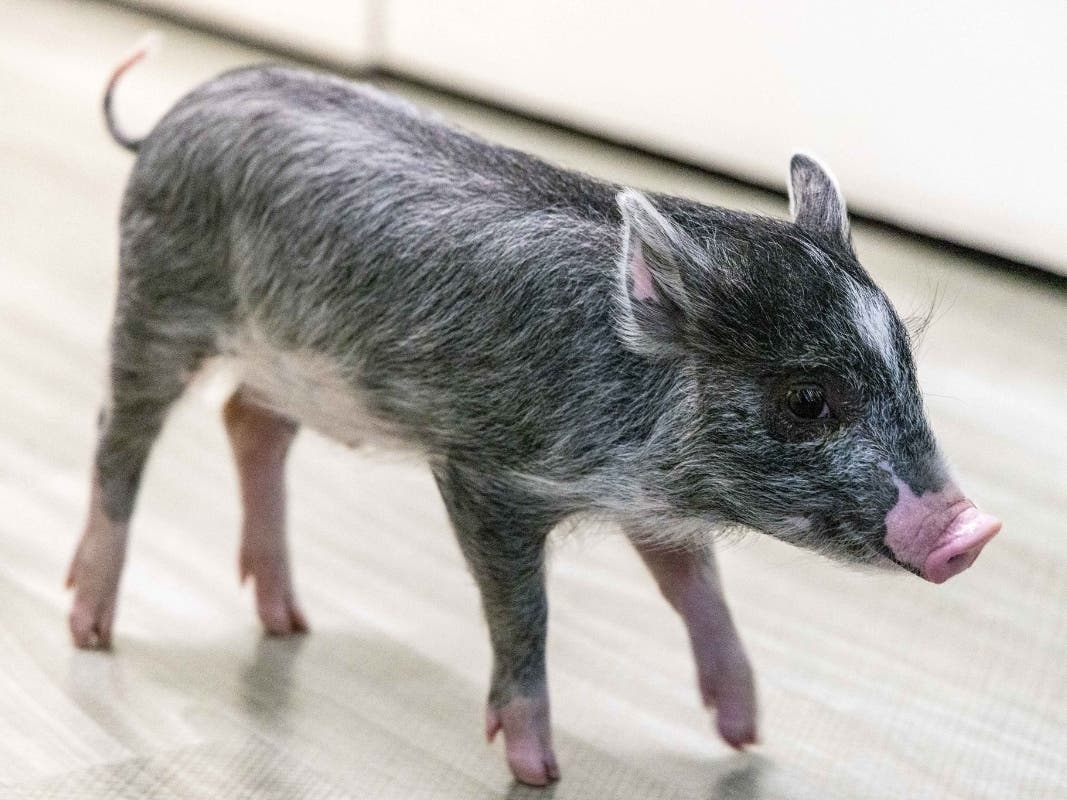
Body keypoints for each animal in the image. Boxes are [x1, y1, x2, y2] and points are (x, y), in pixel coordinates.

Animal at [67, 44, 1002, 786]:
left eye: (907, 369)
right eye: (806, 400)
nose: (972, 529)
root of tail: (170, 120)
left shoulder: (650, 499)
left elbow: (693, 585)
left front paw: (744, 735)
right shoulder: (483, 474)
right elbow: (524, 612)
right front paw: (538, 771)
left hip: (284, 364)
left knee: (246, 422)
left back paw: (288, 622)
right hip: (156, 299)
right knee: (118, 434)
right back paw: (91, 633)